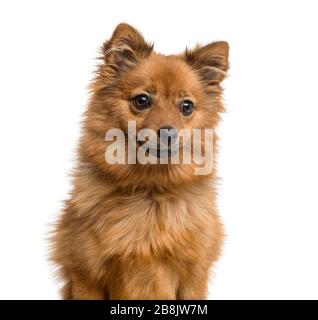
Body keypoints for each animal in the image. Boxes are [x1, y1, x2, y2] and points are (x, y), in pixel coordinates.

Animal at [50, 23, 229, 300]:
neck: (150, 189)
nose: (168, 133)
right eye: (142, 100)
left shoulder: (194, 276)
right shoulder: (86, 276)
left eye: (186, 106)